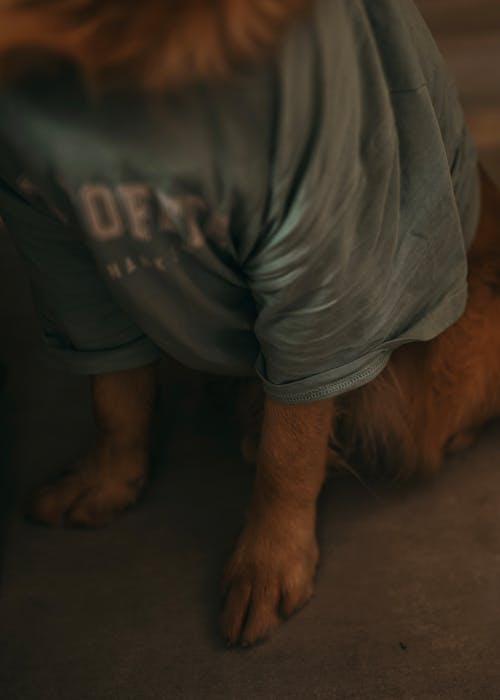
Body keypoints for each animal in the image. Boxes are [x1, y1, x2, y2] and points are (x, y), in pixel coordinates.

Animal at [0, 0, 500, 648]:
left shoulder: (316, 252)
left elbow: (287, 448)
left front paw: (269, 561)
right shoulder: (55, 241)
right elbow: (112, 393)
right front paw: (109, 481)